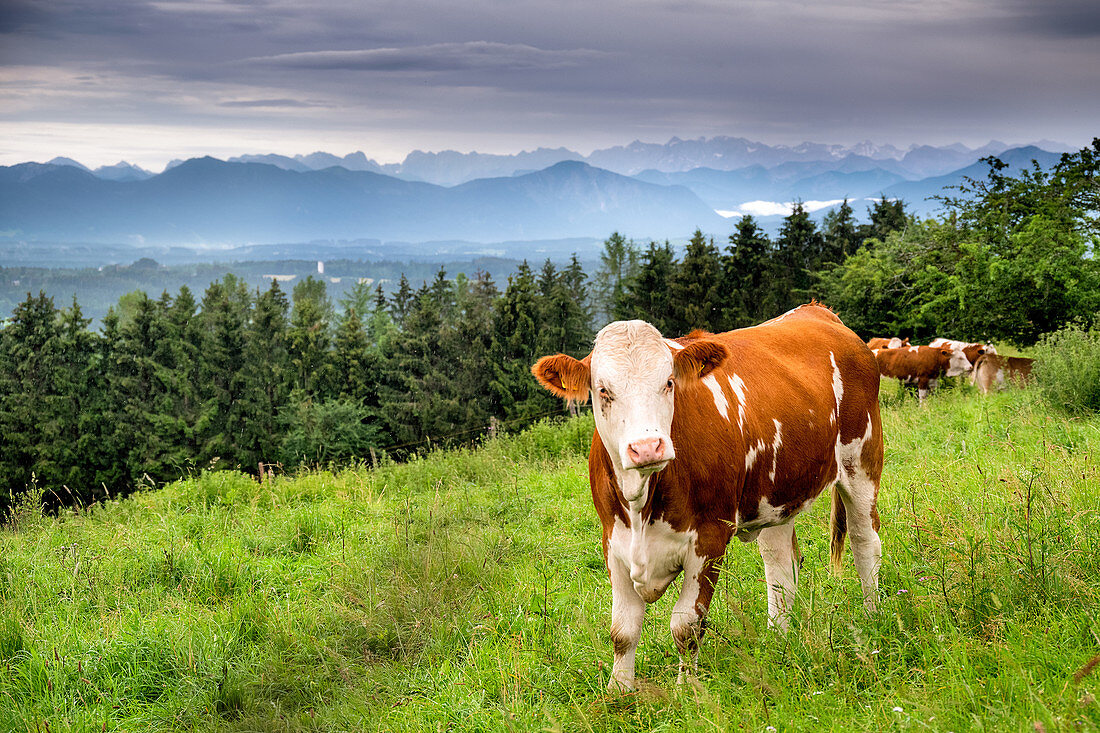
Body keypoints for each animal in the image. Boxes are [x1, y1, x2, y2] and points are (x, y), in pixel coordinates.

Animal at [531, 304, 883, 691]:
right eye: (603, 390)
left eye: (668, 383)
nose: (647, 447)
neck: (642, 504)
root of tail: (817, 310)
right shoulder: (613, 541)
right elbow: (623, 630)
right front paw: (618, 691)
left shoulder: (710, 538)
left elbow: (685, 625)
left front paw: (687, 689)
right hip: (778, 492)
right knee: (781, 565)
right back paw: (778, 640)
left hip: (862, 461)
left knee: (865, 543)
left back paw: (872, 619)